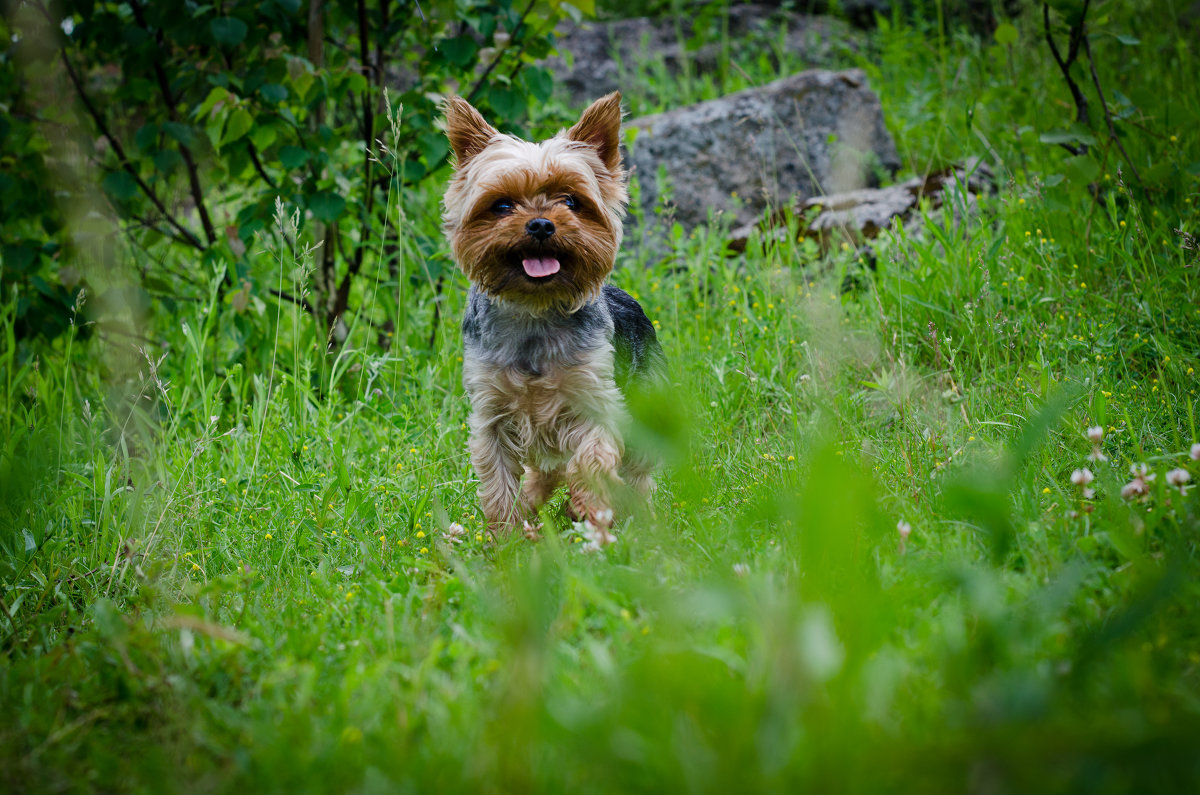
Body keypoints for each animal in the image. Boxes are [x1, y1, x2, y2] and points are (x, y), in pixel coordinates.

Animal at [441, 93, 667, 542]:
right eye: (502, 205)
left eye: (570, 201)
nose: (542, 224)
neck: (535, 310)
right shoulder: (491, 413)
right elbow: (498, 481)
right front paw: (507, 539)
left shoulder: (596, 400)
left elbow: (591, 459)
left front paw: (590, 513)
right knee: (545, 471)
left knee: (635, 472)